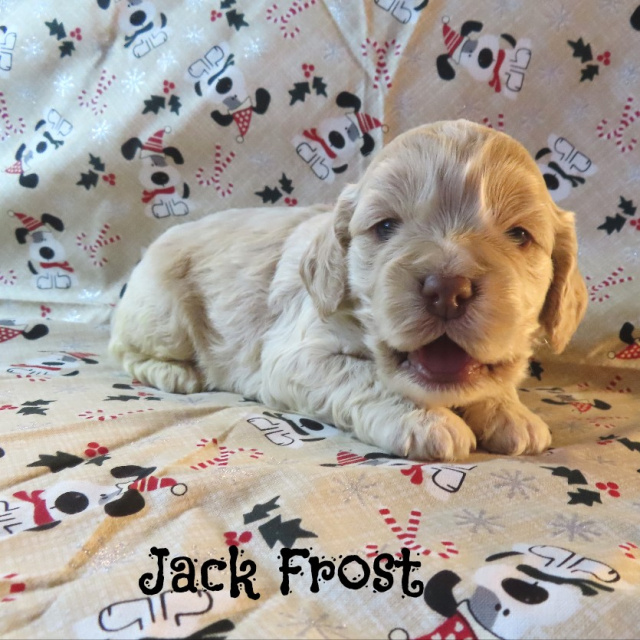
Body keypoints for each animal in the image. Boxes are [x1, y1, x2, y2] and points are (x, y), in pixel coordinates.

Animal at [110, 120, 587, 461]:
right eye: (386, 227)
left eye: (520, 235)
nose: (447, 290)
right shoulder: (293, 355)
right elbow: (366, 375)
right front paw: (425, 420)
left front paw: (512, 413)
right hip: (163, 316)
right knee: (122, 349)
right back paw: (177, 373)